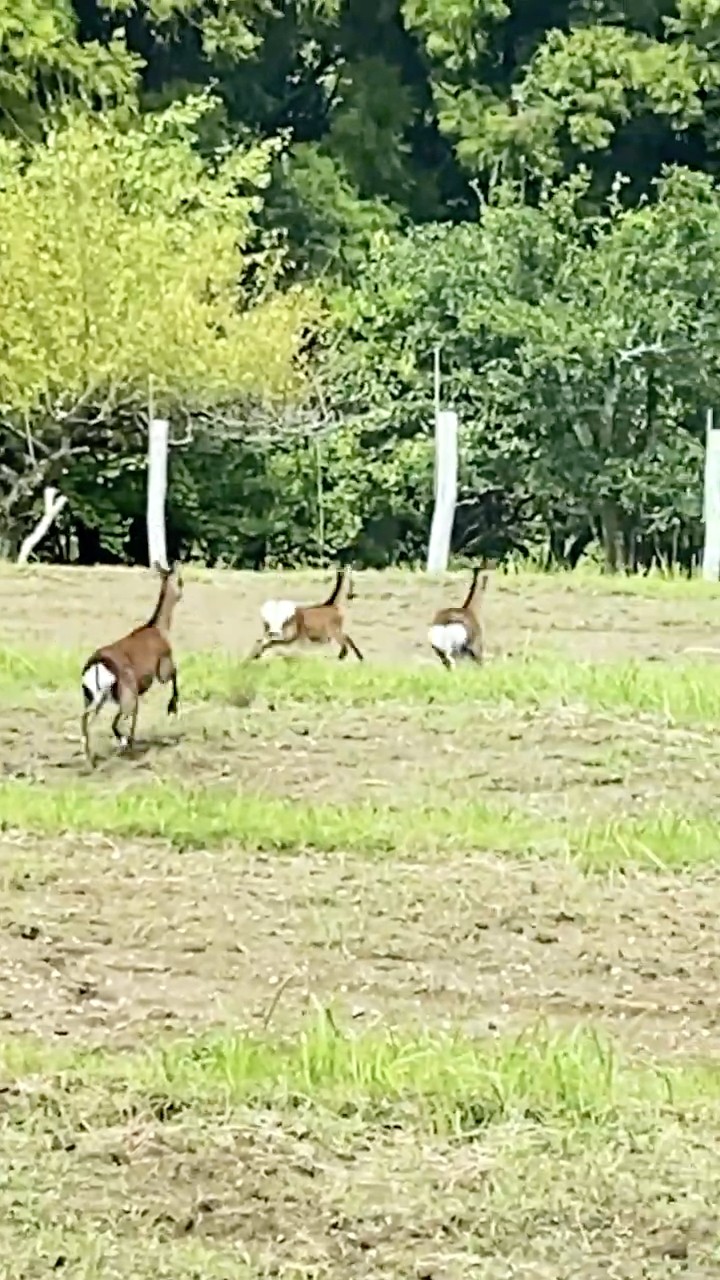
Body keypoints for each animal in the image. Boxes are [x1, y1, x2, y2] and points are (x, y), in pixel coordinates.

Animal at [80, 562, 183, 766]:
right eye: (180, 580)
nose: (181, 594)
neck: (159, 629)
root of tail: (96, 664)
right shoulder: (162, 666)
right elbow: (176, 672)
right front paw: (172, 708)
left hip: (94, 696)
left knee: (88, 720)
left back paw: (93, 759)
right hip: (125, 692)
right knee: (113, 721)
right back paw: (120, 748)